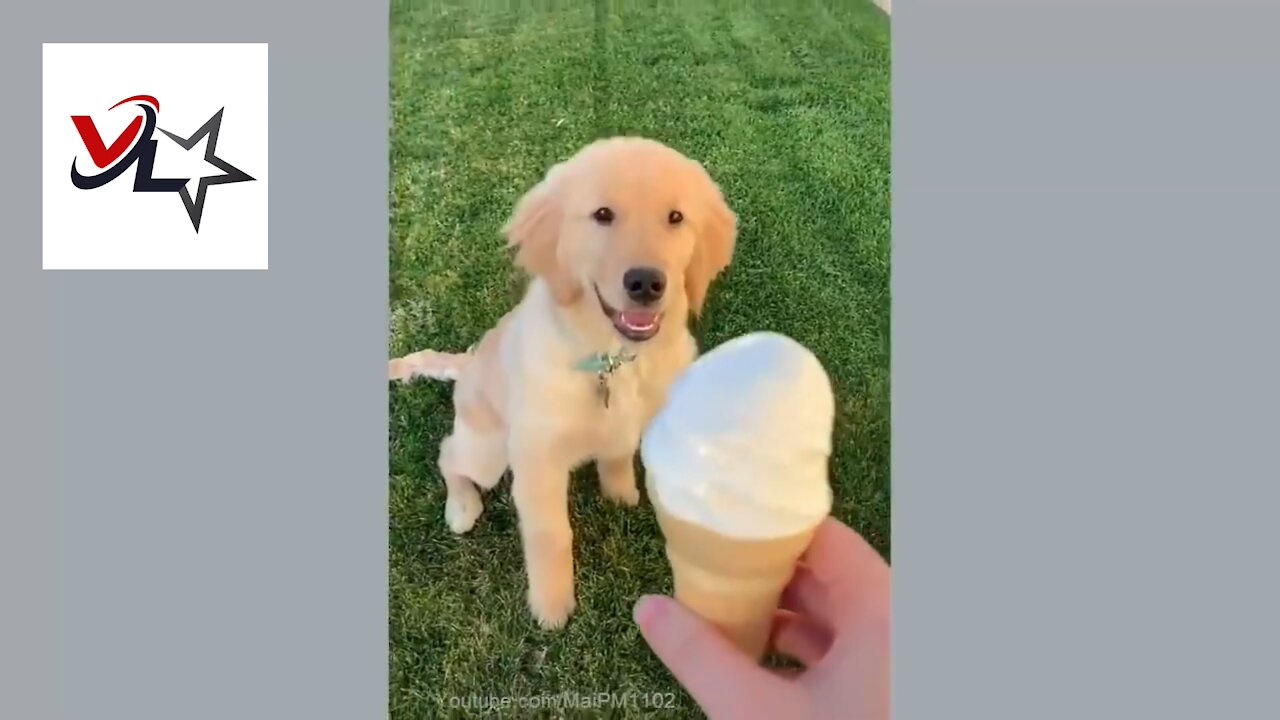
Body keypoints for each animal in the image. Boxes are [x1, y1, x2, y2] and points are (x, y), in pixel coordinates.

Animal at [384, 137, 737, 625]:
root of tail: (468, 364)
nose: (646, 283)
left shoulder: (633, 422)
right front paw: (551, 607)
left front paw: (620, 492)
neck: (611, 358)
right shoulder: (538, 461)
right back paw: (462, 506)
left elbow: (617, 454)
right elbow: (551, 535)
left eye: (676, 217)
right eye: (603, 214)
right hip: (488, 449)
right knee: (449, 454)